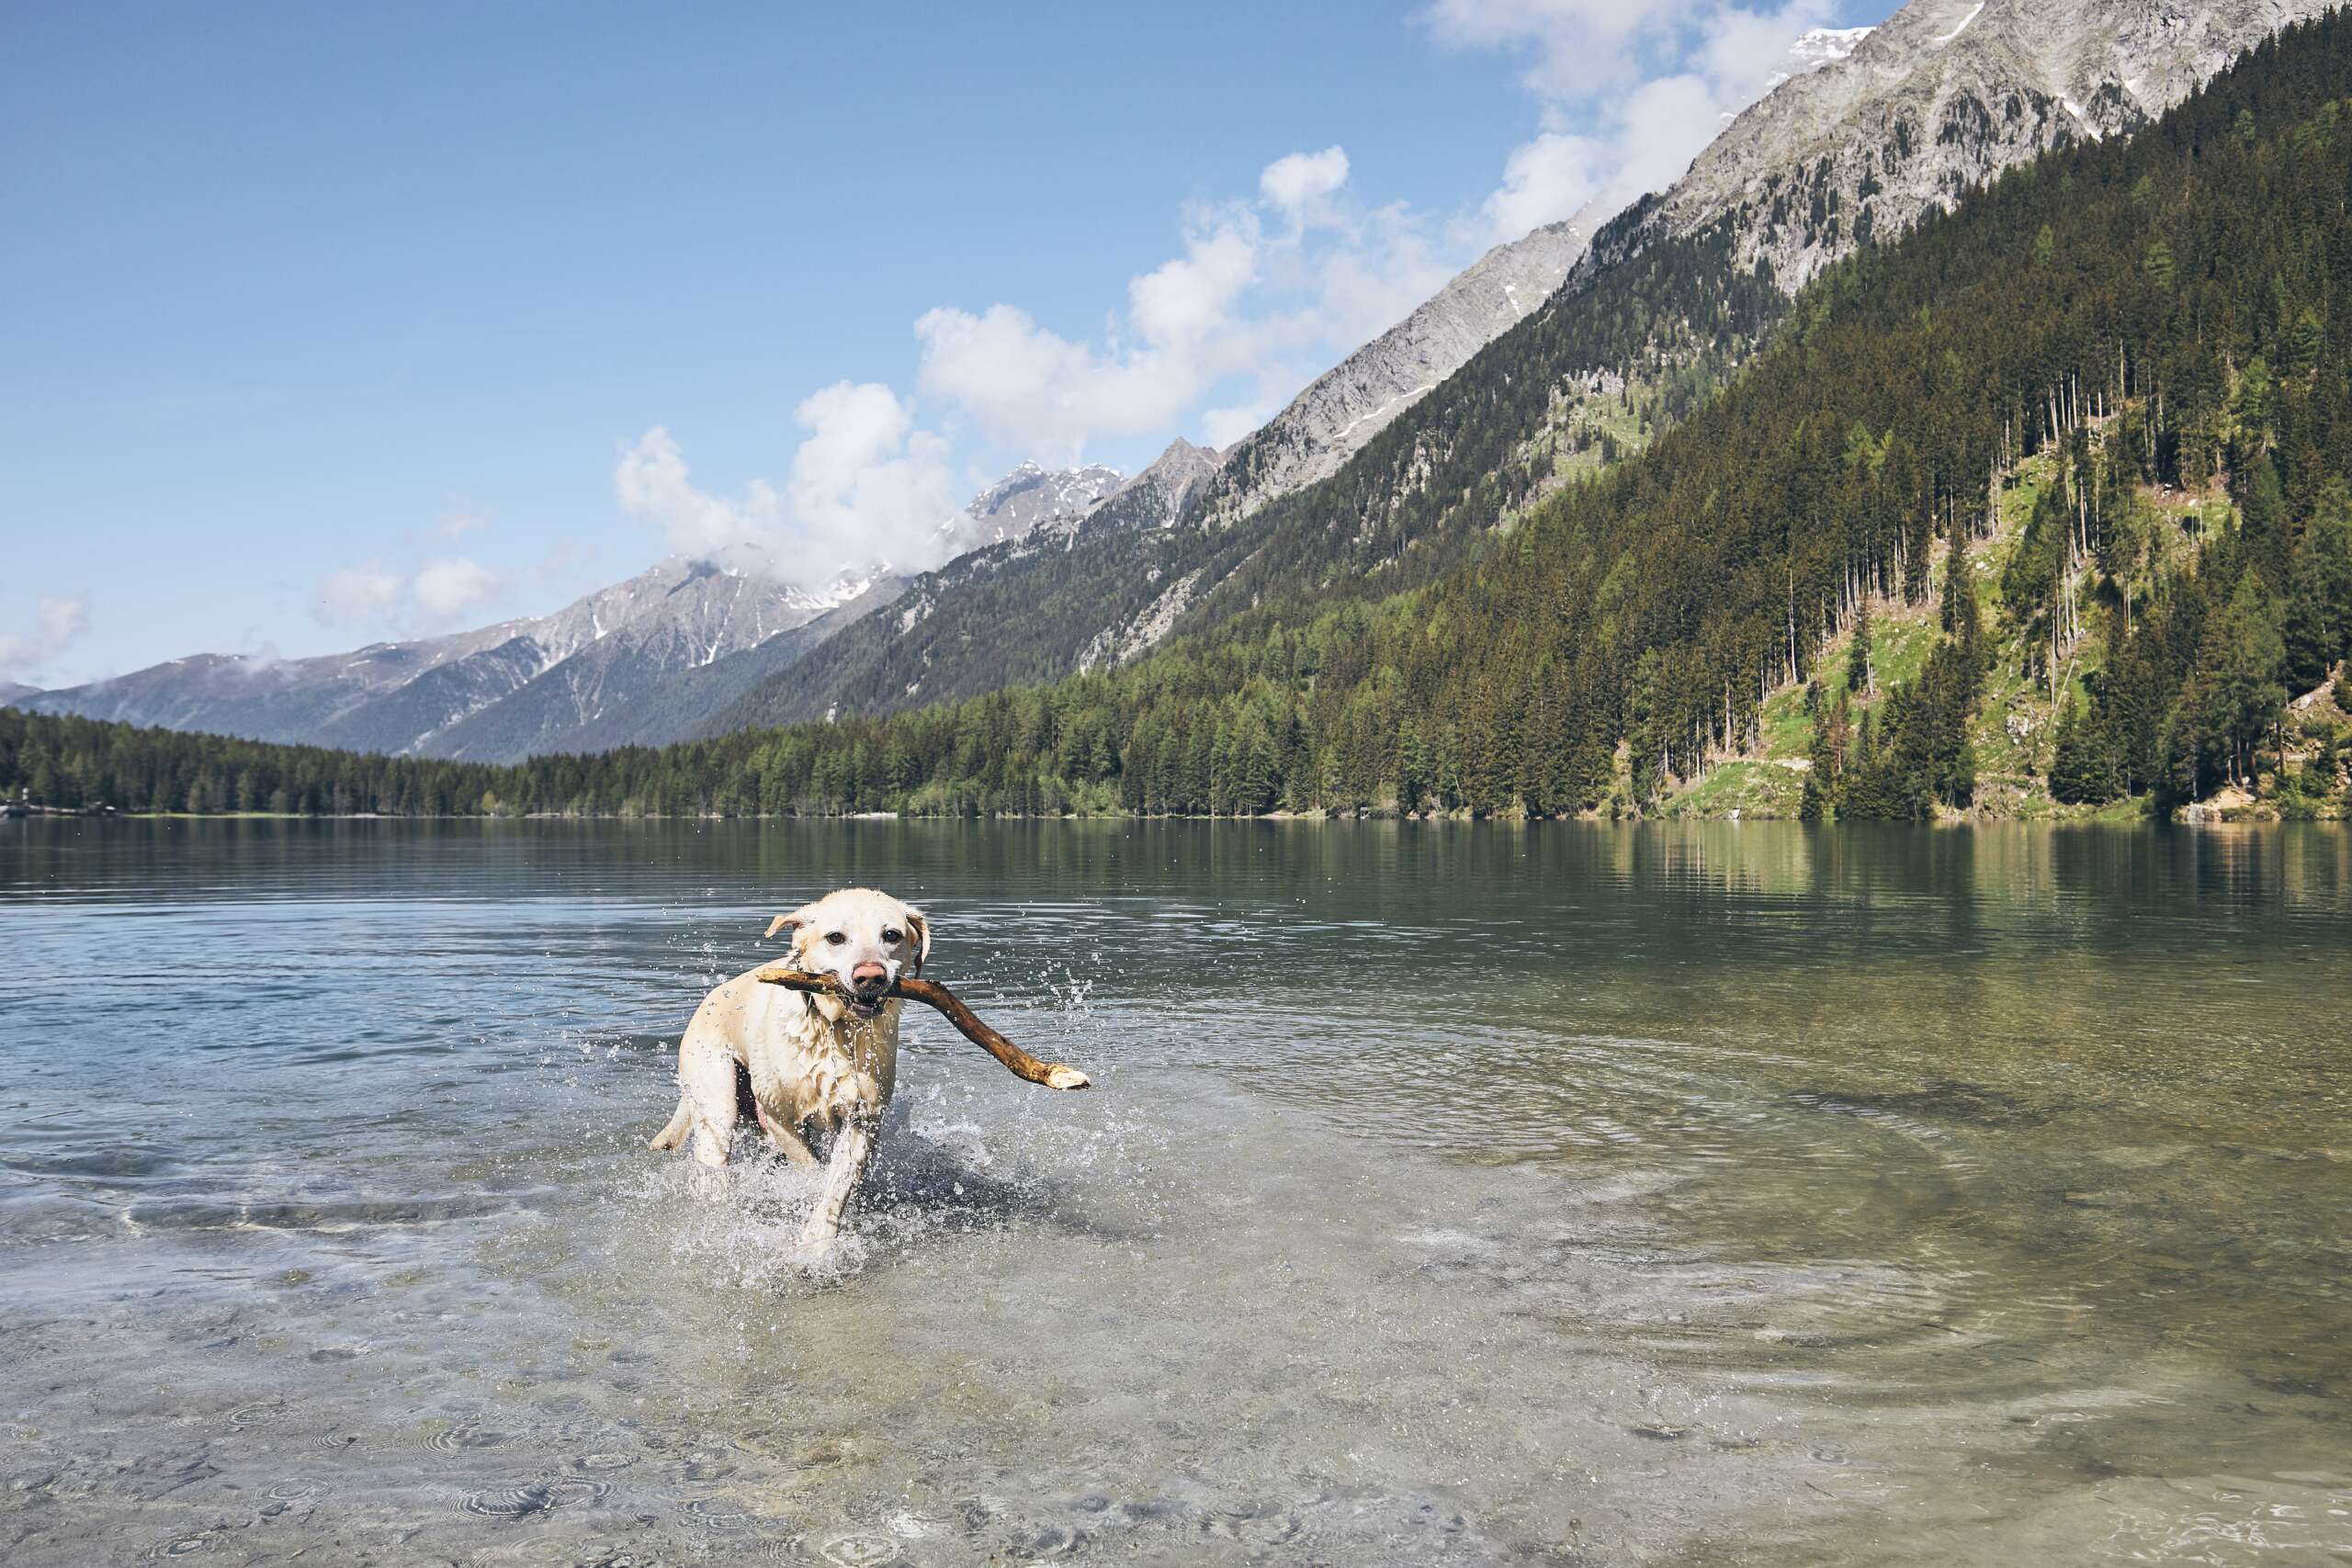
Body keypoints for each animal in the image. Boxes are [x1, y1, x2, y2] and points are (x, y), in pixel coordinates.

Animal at [653, 893, 935, 1250]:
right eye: (835, 937)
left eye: (891, 935)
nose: (870, 976)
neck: (834, 1028)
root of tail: (708, 999)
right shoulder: (780, 1117)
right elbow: (809, 1169)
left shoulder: (864, 1118)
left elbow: (837, 1182)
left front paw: (818, 1241)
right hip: (716, 1100)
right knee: (714, 1156)